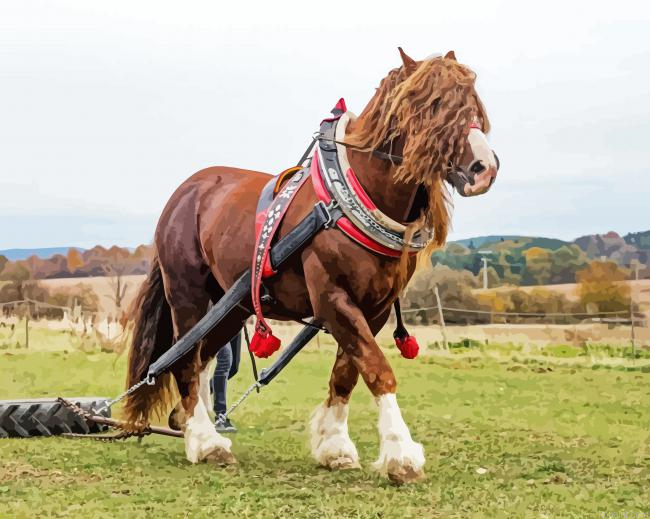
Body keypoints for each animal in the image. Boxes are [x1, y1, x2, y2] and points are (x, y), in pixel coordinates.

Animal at [123, 48, 499, 484]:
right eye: (432, 105)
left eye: (474, 106)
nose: (484, 167)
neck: (349, 198)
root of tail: (185, 191)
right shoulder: (333, 298)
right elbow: (377, 368)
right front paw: (401, 454)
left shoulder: (374, 308)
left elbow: (347, 372)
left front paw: (335, 446)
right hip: (187, 294)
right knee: (185, 357)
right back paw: (205, 441)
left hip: (233, 304)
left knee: (201, 356)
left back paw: (188, 423)